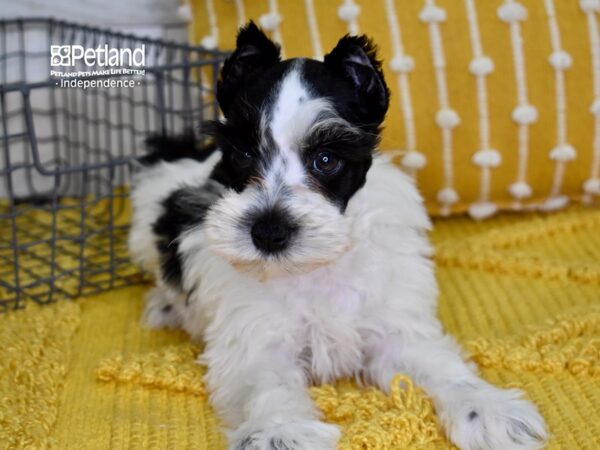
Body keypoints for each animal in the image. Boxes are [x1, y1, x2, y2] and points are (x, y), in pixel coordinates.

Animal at [130, 22, 548, 450]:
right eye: (243, 155)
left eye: (326, 160)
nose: (268, 231)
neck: (316, 265)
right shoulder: (256, 342)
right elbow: (267, 387)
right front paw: (280, 431)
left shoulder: (394, 330)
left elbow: (441, 367)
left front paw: (489, 409)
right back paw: (166, 306)